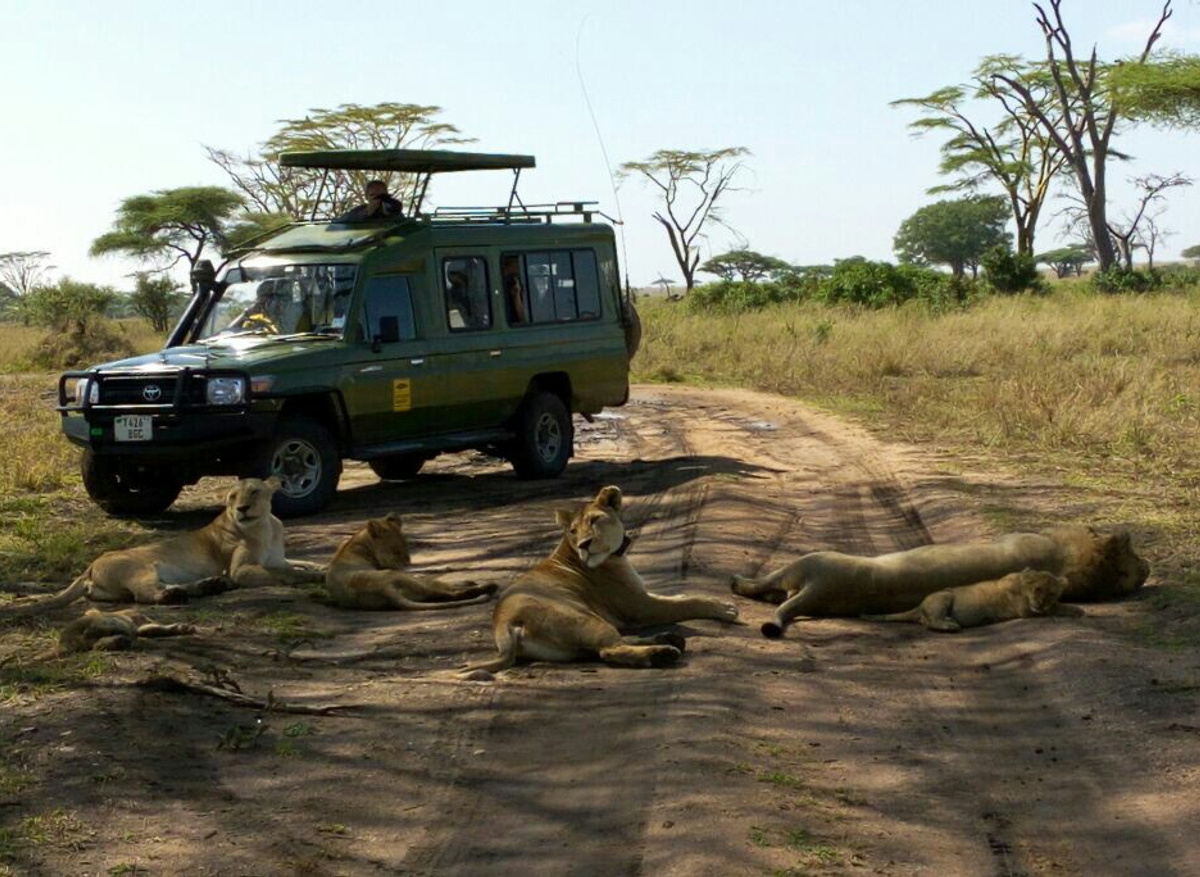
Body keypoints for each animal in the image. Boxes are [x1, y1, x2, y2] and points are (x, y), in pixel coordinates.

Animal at [1, 477, 325, 617]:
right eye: (232, 497)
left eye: (254, 492)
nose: (242, 509)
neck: (267, 524)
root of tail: (90, 566)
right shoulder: (240, 570)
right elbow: (284, 574)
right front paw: (311, 577)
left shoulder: (278, 558)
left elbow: (299, 563)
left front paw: (320, 568)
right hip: (142, 567)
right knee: (144, 595)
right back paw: (180, 596)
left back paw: (208, 586)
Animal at [325, 513, 497, 610]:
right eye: (397, 551)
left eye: (406, 546)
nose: (408, 562)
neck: (358, 542)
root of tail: (385, 588)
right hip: (401, 577)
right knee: (441, 591)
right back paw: (488, 587)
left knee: (439, 592)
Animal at [461, 485, 739, 674]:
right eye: (573, 531)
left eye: (595, 520)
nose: (584, 544)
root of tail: (503, 623)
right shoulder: (641, 607)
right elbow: (688, 602)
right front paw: (724, 608)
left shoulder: (642, 596)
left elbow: (677, 597)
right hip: (585, 618)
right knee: (610, 650)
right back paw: (663, 653)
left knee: (609, 645)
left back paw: (669, 639)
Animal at [862, 569, 1082, 632]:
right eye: (1038, 589)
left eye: (1051, 593)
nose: (1041, 602)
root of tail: (919, 605)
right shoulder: (1025, 611)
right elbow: (1057, 609)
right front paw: (1078, 610)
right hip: (944, 595)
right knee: (931, 622)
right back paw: (950, 625)